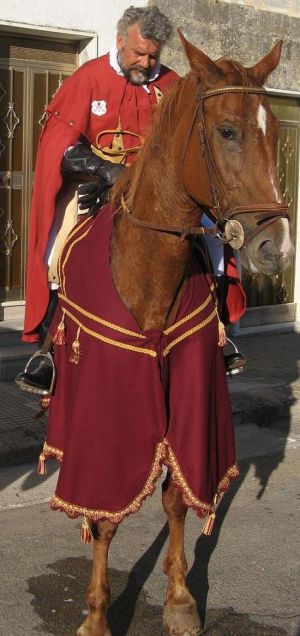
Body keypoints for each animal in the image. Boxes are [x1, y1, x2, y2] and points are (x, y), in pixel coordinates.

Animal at [42, 31, 292, 636]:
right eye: (226, 131)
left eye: (276, 131)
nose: (275, 247)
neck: (148, 269)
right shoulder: (110, 413)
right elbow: (104, 518)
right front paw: (96, 615)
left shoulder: (192, 399)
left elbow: (177, 497)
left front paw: (179, 600)